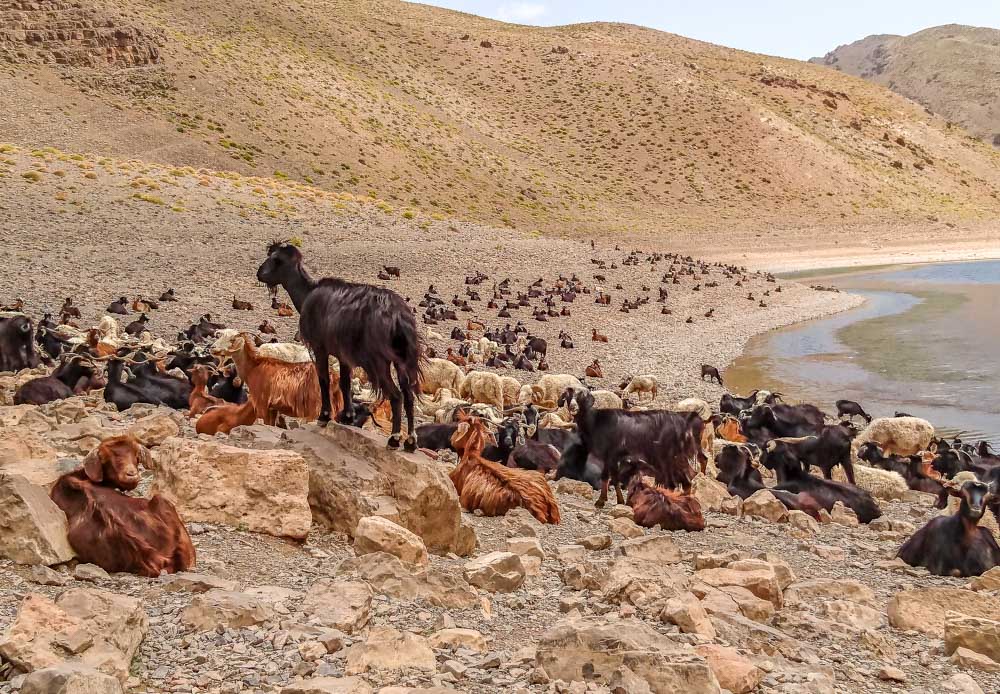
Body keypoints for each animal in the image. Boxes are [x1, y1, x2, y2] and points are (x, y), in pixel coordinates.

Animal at [256, 243, 424, 452]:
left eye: (275, 259)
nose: (259, 273)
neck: (308, 294)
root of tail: (398, 316)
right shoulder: (344, 355)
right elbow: (345, 383)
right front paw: (348, 417)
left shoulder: (319, 346)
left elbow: (324, 379)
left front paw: (324, 417)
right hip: (402, 358)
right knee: (408, 395)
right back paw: (410, 442)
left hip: (379, 360)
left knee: (396, 395)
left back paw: (393, 439)